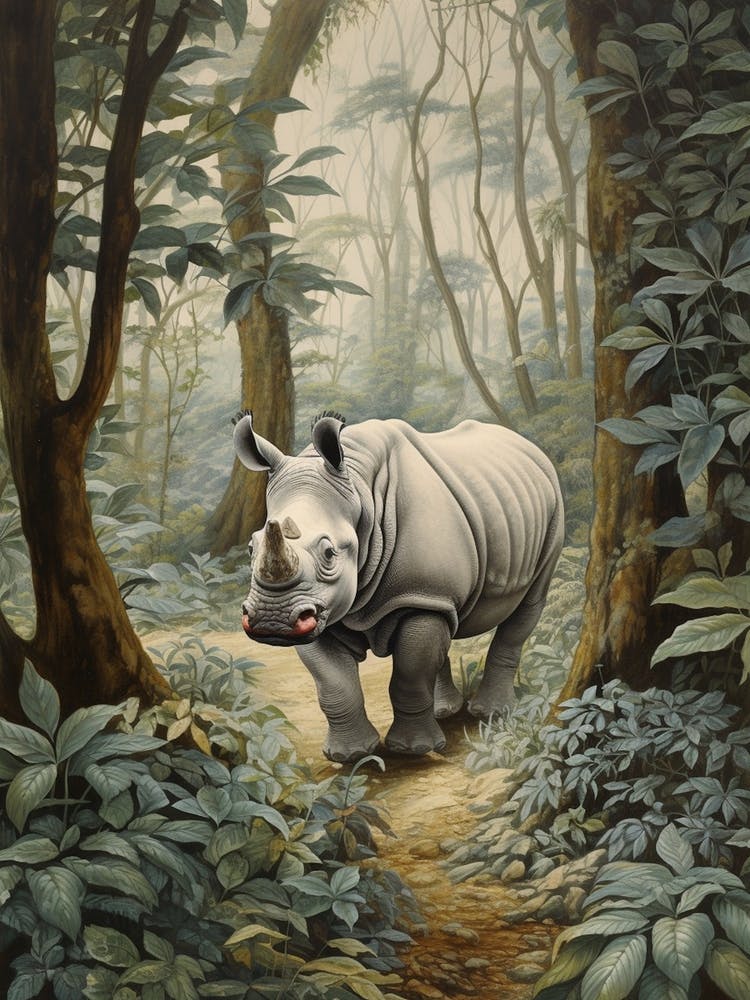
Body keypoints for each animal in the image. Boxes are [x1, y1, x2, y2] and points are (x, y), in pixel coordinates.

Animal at [234, 411, 564, 762]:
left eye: (329, 553)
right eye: (252, 548)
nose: (271, 621)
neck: (360, 491)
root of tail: (527, 445)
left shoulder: (420, 594)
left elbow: (410, 675)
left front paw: (413, 750)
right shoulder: (320, 610)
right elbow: (334, 686)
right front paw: (350, 755)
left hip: (553, 508)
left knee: (527, 607)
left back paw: (491, 714)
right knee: (447, 625)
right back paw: (446, 711)